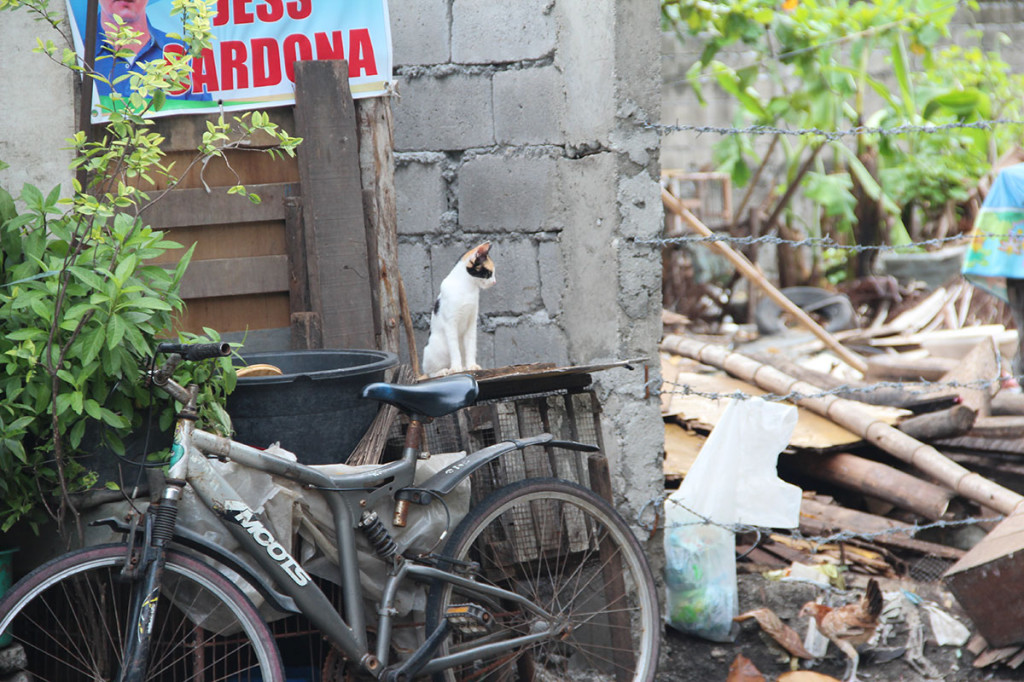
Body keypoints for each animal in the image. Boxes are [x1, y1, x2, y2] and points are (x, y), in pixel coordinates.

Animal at [421, 240, 497, 376]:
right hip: (435, 350)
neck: (468, 288)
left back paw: (464, 366)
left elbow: (470, 346)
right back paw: (444, 371)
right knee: (429, 372)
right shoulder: (451, 323)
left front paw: (471, 365)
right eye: (489, 273)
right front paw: (456, 367)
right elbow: (454, 347)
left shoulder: (471, 322)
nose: (494, 282)